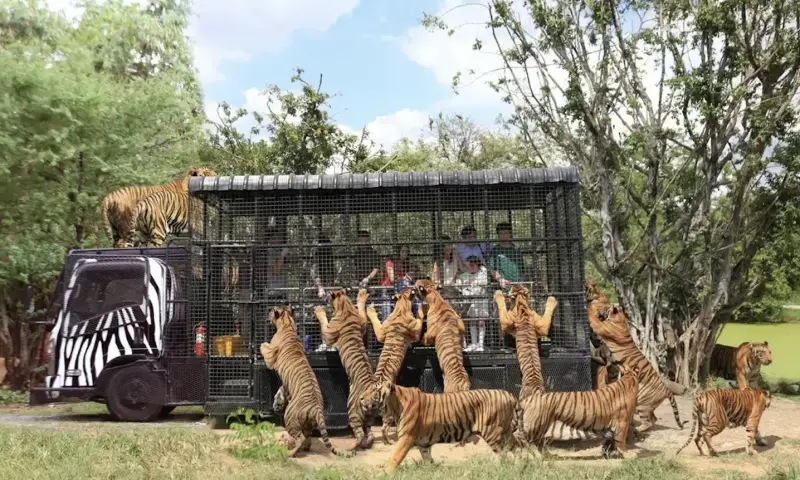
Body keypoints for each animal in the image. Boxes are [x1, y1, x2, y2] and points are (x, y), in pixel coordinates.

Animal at [260, 306, 352, 460]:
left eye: (273, 311)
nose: (268, 314)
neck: (287, 324)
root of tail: (316, 408)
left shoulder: (270, 357)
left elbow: (264, 346)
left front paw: (260, 344)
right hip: (307, 422)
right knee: (307, 437)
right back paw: (304, 448)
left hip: (290, 416)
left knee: (300, 437)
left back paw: (290, 453)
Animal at [312, 288, 378, 454]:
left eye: (328, 295)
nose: (323, 297)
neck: (344, 304)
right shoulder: (361, 322)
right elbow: (361, 310)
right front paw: (362, 294)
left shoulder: (328, 334)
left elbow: (324, 323)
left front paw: (319, 310)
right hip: (369, 417)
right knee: (369, 433)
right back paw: (366, 444)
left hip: (352, 410)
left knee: (360, 434)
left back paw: (351, 448)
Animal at [360, 286, 424, 444]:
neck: (401, 306)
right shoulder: (415, 333)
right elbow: (419, 320)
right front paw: (421, 308)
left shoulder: (381, 333)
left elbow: (376, 324)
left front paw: (370, 310)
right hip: (389, 414)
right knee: (384, 428)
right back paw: (389, 441)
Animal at [378, 380, 520, 474]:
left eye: (375, 389)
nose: (365, 398)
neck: (395, 405)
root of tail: (508, 394)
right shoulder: (423, 444)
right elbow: (427, 459)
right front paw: (432, 472)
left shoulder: (406, 437)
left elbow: (395, 456)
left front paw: (385, 474)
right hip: (506, 431)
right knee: (515, 446)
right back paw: (520, 464)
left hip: (492, 431)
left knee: (502, 453)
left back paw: (501, 469)